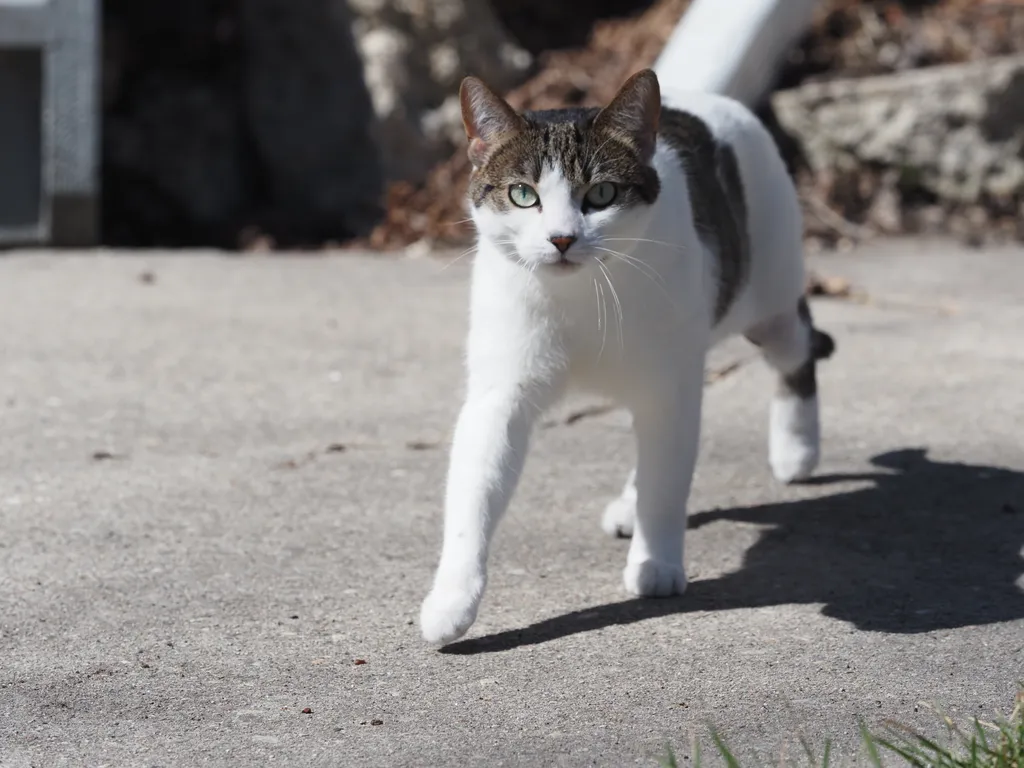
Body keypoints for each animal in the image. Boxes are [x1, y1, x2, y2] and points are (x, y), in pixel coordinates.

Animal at [415, 67, 831, 651]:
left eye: (602, 193)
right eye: (523, 195)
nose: (561, 239)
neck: (581, 295)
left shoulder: (670, 390)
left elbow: (666, 482)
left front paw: (656, 563)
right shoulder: (501, 396)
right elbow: (473, 497)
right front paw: (453, 600)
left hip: (768, 304)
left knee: (799, 343)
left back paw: (796, 448)